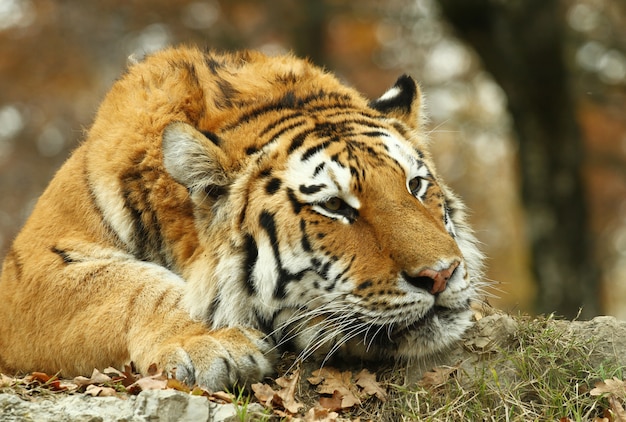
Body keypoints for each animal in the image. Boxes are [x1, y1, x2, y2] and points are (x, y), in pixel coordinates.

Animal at [0, 44, 482, 390]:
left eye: (415, 185)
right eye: (334, 206)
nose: (442, 275)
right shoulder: (31, 272)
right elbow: (128, 286)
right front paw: (211, 343)